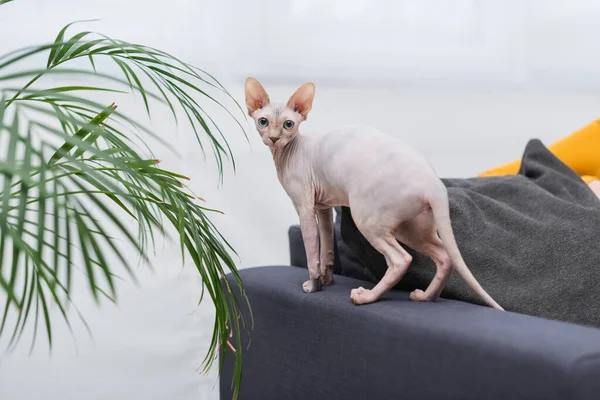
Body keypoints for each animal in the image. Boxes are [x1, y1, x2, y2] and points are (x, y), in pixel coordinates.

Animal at [244, 76, 502, 310]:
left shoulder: (305, 208)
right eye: (263, 121)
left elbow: (312, 253)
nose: (274, 137)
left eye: (288, 124)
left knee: (401, 259)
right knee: (445, 257)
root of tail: (434, 183)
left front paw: (313, 286)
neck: (289, 151)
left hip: (367, 218)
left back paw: (367, 297)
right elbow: (327, 248)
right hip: (412, 227)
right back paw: (426, 297)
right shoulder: (323, 207)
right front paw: (326, 281)